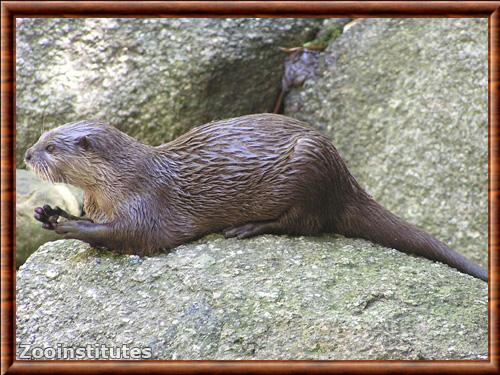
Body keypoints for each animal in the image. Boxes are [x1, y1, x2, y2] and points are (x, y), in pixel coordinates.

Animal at [24, 114, 488, 282]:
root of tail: (345, 176)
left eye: (51, 147)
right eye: (41, 137)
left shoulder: (146, 204)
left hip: (308, 168)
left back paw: (245, 228)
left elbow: (128, 235)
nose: (27, 154)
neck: (119, 183)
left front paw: (66, 223)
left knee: (304, 223)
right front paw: (50, 211)